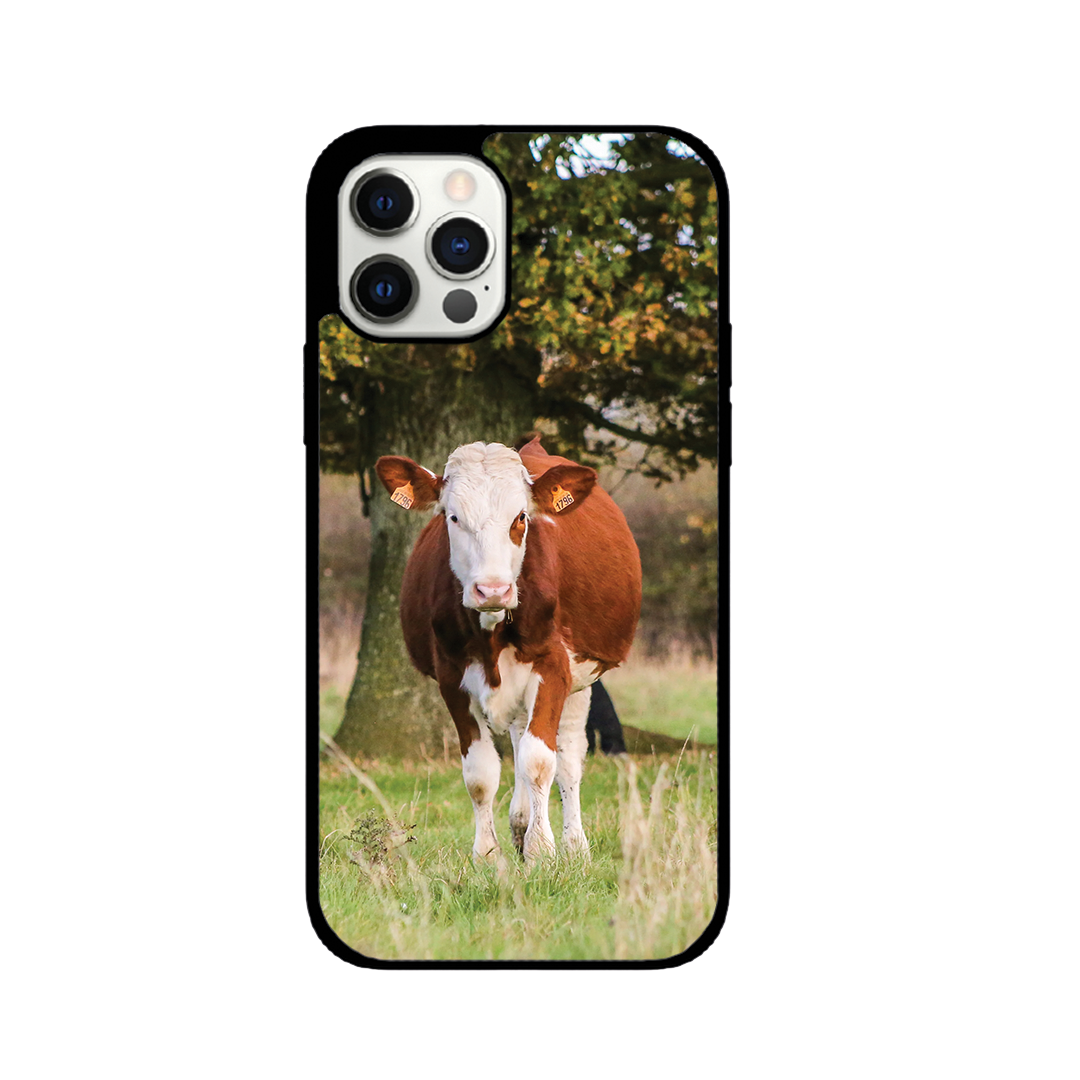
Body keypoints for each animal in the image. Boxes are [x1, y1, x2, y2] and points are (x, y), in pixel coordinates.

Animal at [374, 436, 641, 863]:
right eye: (452, 517)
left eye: (520, 517)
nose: (493, 589)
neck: (492, 631)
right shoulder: (451, 677)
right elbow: (481, 773)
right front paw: (487, 853)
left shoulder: (554, 668)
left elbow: (540, 761)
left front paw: (542, 850)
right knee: (519, 738)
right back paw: (520, 822)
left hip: (585, 679)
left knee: (568, 757)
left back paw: (574, 844)